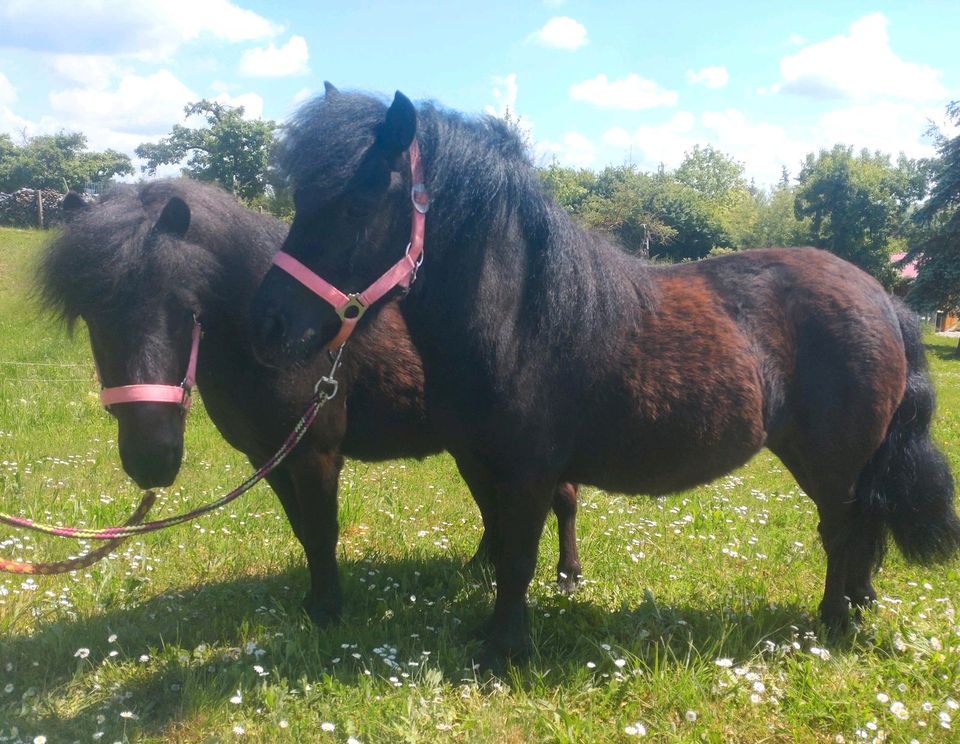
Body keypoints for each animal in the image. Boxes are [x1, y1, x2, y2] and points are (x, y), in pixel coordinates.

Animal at [35, 180, 584, 628]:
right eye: (90, 314)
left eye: (186, 309)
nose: (152, 456)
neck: (273, 346)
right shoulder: (267, 458)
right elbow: (303, 531)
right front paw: (315, 601)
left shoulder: (314, 452)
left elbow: (322, 531)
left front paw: (326, 612)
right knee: (492, 505)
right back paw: (481, 569)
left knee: (561, 499)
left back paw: (567, 575)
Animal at [249, 87, 960, 668]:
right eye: (301, 199)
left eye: (358, 201)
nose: (269, 324)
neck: (519, 319)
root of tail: (884, 301)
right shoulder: (480, 462)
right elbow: (500, 542)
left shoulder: (528, 471)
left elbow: (517, 557)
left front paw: (503, 651)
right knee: (865, 525)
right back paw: (860, 602)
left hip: (833, 461)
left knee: (843, 528)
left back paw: (835, 622)